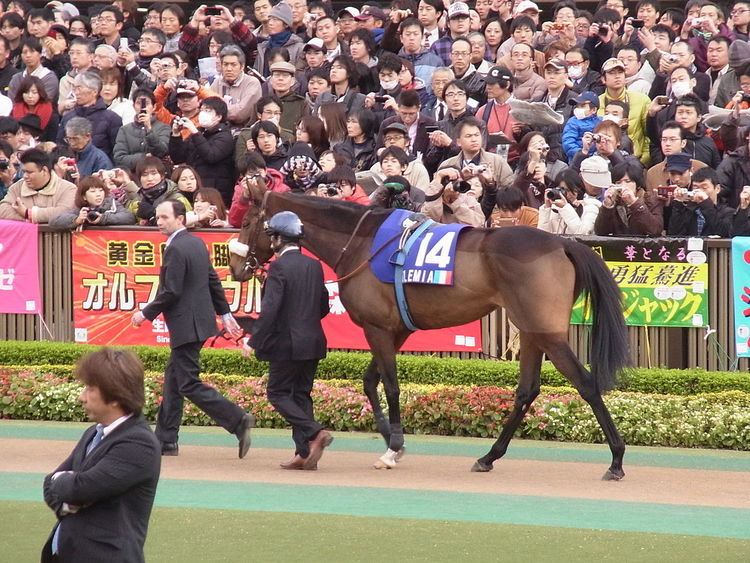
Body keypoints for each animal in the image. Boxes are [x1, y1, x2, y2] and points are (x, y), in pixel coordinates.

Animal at [231, 191, 636, 480]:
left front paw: (392, 446)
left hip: (547, 332)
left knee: (586, 384)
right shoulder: (396, 329)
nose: (235, 266)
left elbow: (390, 385)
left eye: (248, 219)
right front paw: (389, 437)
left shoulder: (378, 328)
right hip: (532, 330)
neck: (363, 243)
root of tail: (563, 243)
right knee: (527, 390)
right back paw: (488, 456)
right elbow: (369, 381)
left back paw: (616, 460)